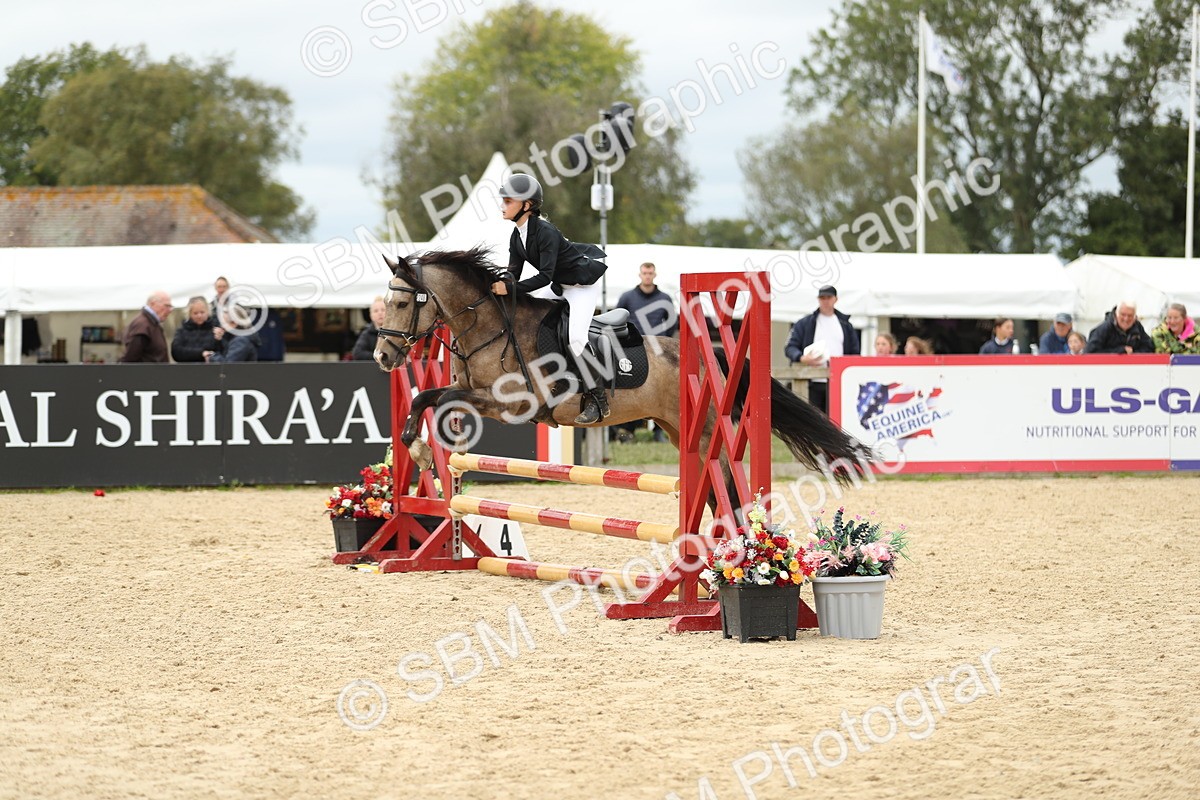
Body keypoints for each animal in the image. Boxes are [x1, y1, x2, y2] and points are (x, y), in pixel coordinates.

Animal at [373, 247, 875, 514]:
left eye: (403, 303)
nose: (381, 356)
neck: (491, 326)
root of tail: (712, 353)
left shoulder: (510, 404)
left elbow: (437, 398)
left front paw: (421, 449)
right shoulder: (474, 395)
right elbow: (427, 398)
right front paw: (421, 449)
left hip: (706, 431)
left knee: (726, 491)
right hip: (676, 429)